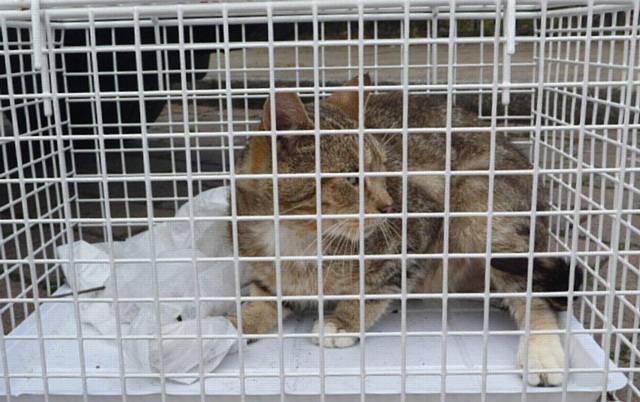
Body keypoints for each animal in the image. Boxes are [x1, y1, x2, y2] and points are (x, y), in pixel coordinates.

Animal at [229, 74, 580, 386]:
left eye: (384, 170)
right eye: (352, 178)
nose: (389, 205)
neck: (297, 236)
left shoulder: (419, 227)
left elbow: (379, 285)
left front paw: (344, 321)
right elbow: (266, 297)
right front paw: (237, 323)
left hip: (479, 200)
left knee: (532, 289)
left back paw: (541, 352)